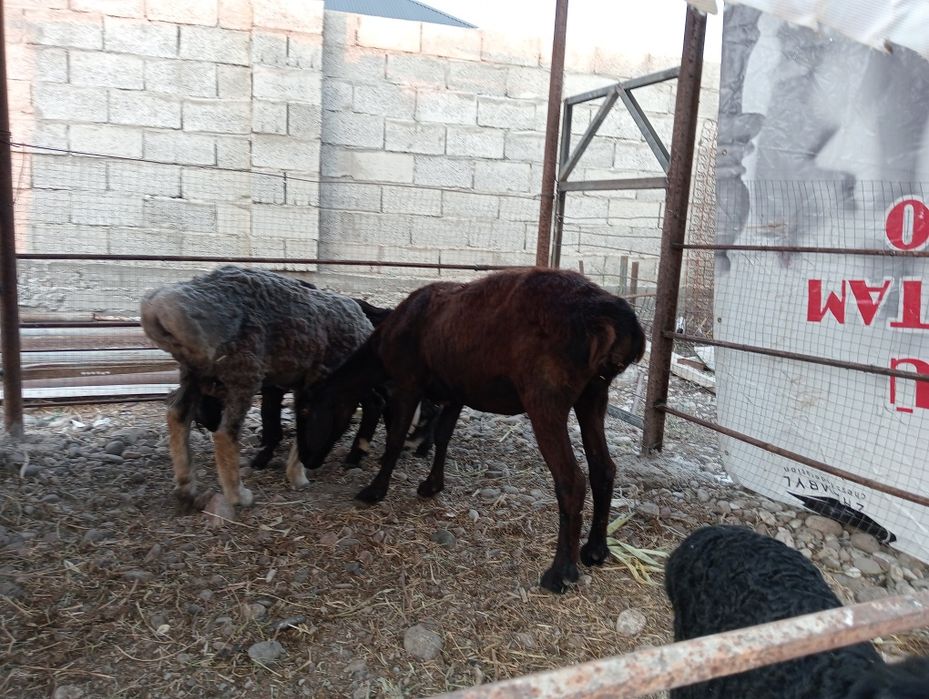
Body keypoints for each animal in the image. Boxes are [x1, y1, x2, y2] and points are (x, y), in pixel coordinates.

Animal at [141, 266, 378, 509]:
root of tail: (161, 308)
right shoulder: (318, 381)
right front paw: (298, 475)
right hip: (242, 370)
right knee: (225, 434)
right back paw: (237, 495)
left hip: (194, 373)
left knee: (177, 416)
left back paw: (186, 487)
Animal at [294, 267, 645, 593]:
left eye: (307, 410)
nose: (308, 459)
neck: (380, 350)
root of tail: (617, 320)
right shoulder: (455, 392)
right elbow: (443, 437)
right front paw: (431, 485)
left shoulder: (408, 381)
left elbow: (395, 439)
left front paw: (374, 490)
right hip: (594, 394)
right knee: (604, 468)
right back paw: (596, 550)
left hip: (546, 395)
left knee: (571, 480)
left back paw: (560, 573)